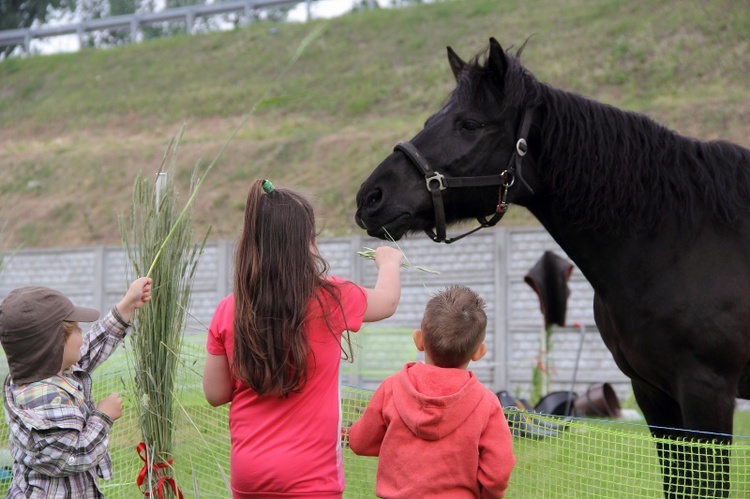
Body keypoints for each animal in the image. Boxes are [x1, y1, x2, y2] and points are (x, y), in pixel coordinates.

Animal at [356, 37, 750, 498]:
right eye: (429, 120)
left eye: (469, 124)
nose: (371, 197)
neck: (680, 240)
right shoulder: (653, 393)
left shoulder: (707, 393)